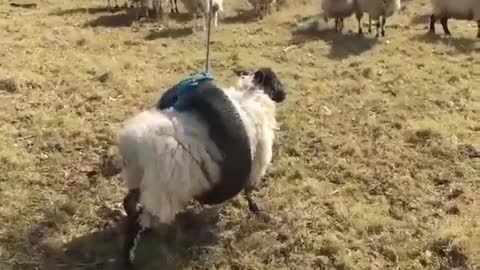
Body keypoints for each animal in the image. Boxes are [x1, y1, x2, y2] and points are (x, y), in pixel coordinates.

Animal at [118, 67, 286, 266]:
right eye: (276, 81)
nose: (284, 95)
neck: (254, 95)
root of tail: (135, 143)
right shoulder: (256, 165)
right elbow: (249, 192)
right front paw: (256, 211)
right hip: (161, 192)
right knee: (146, 219)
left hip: (138, 178)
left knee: (129, 204)